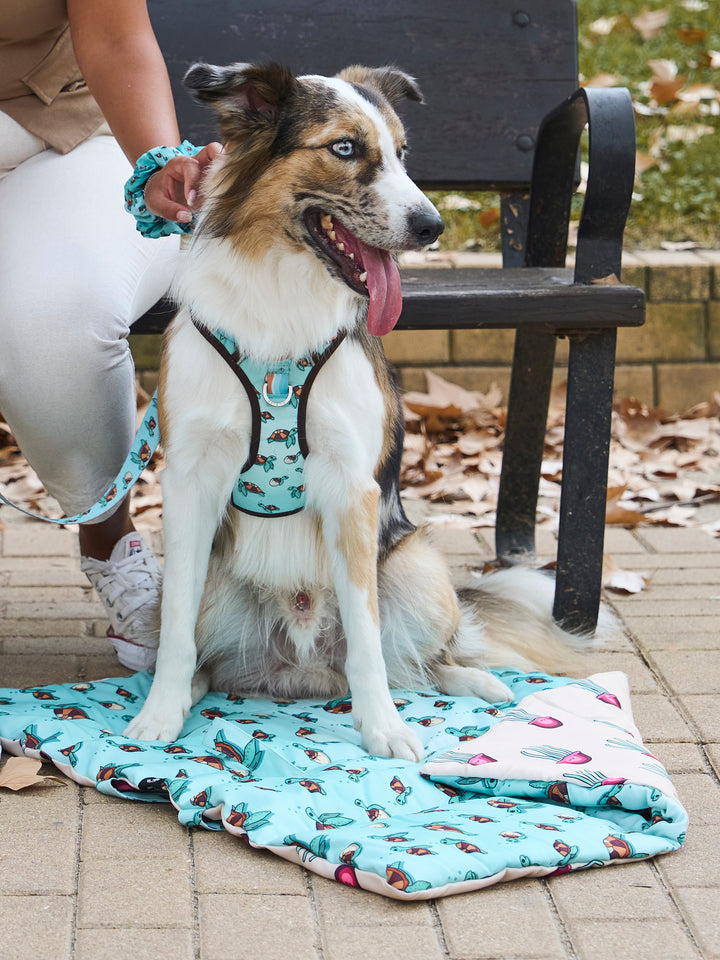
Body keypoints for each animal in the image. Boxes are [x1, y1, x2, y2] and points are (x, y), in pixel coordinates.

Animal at [125, 63, 608, 760]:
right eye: (346, 148)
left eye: (404, 153)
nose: (432, 225)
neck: (281, 297)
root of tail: (301, 668)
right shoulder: (190, 481)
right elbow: (177, 633)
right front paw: (160, 713)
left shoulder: (349, 484)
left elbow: (367, 637)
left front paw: (383, 728)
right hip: (215, 580)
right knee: (208, 659)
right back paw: (191, 691)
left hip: (419, 567)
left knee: (421, 659)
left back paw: (476, 680)